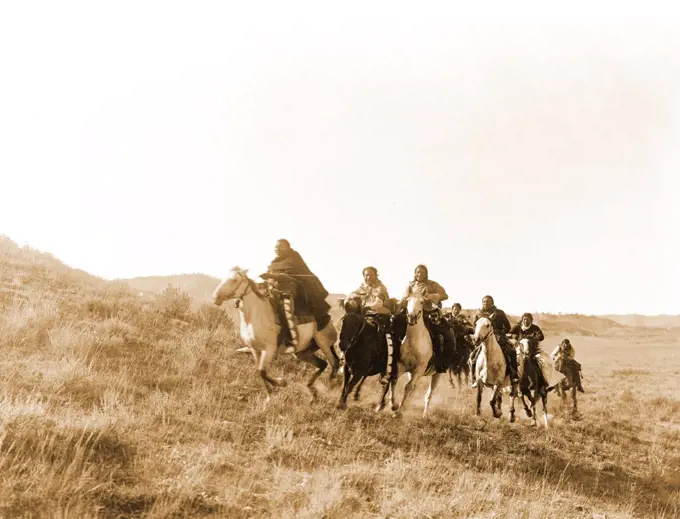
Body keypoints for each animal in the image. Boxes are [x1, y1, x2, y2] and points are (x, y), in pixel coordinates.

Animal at [212, 268, 340, 402]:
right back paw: (312, 392)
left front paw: (281, 383)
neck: (256, 315)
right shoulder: (255, 349)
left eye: (235, 280)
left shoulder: (269, 349)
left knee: (334, 363)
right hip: (302, 352)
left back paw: (332, 388)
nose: (215, 297)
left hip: (324, 344)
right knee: (323, 364)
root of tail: (329, 320)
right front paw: (269, 395)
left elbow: (262, 371)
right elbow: (260, 372)